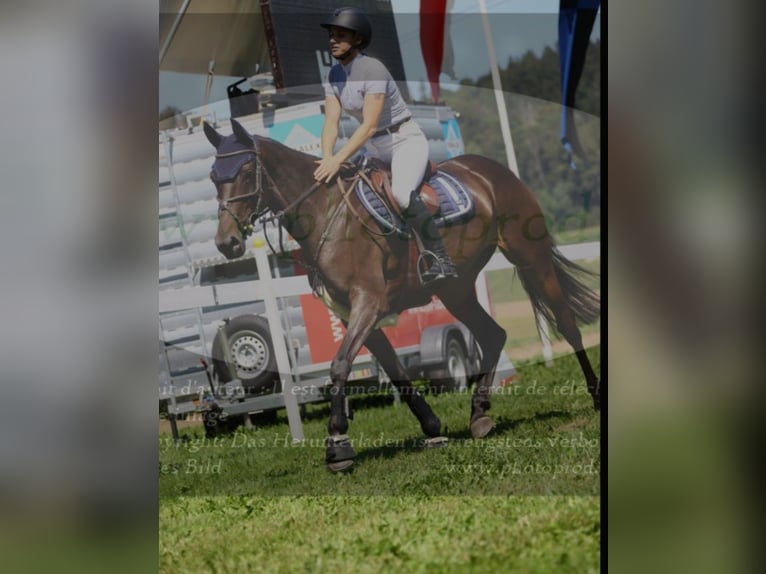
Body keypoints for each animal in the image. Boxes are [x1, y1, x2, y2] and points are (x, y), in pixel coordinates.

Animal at [204, 119, 600, 474]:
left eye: (245, 170)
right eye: (213, 176)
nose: (226, 243)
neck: (325, 212)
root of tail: (492, 169)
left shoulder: (368, 303)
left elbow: (340, 366)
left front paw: (338, 445)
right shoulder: (351, 313)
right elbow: (394, 371)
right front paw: (431, 427)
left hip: (530, 257)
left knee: (567, 324)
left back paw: (595, 395)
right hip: (456, 290)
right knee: (493, 335)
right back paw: (479, 414)